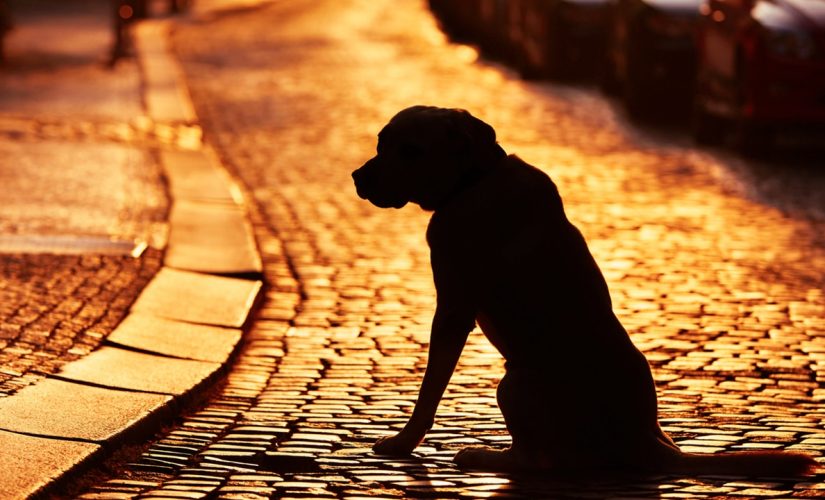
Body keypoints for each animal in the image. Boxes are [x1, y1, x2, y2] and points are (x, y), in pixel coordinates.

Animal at [350, 105, 816, 476]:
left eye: (410, 150)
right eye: (380, 142)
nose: (357, 177)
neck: (474, 179)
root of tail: (651, 445)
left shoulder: (452, 309)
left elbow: (428, 391)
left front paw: (402, 443)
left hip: (514, 381)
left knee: (538, 461)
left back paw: (483, 456)